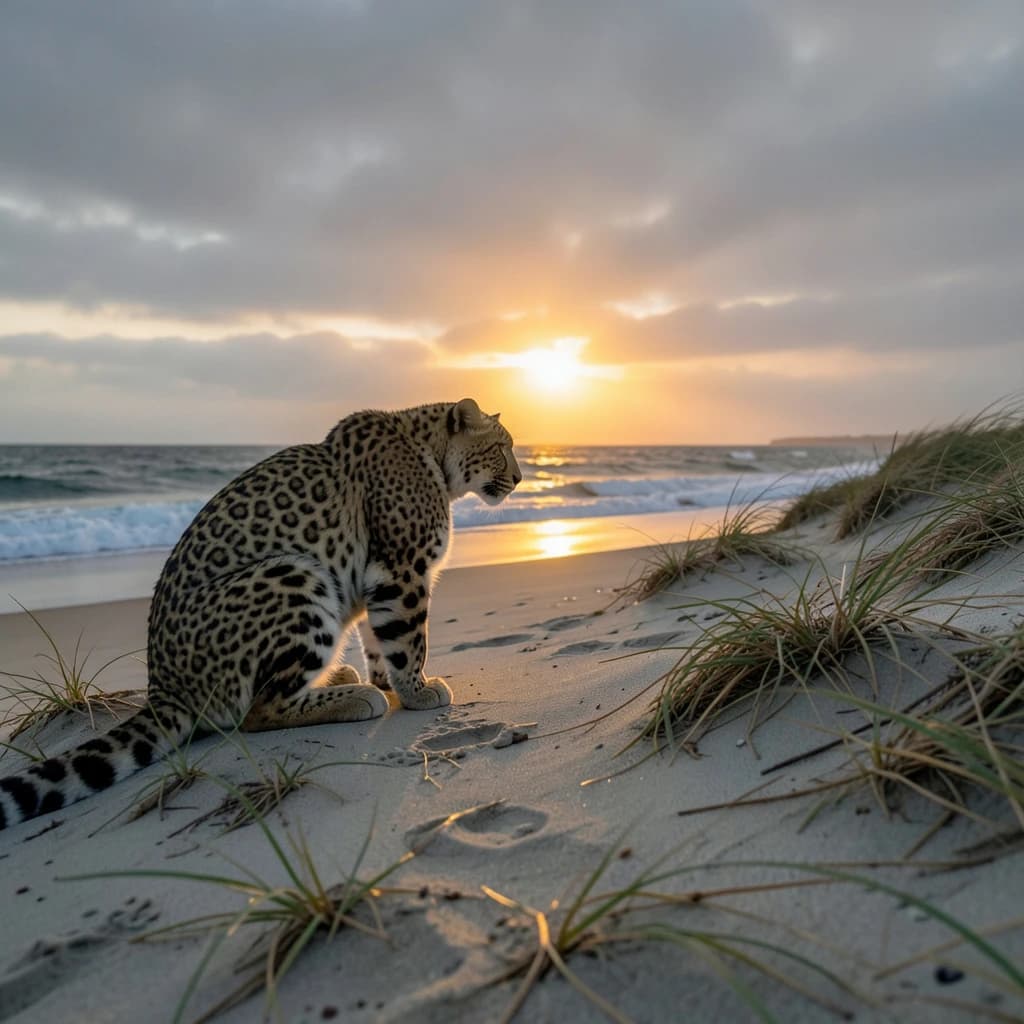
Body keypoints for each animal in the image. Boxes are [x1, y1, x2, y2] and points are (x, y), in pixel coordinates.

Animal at [0, 399, 520, 831]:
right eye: (502, 448)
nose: (518, 479)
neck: (433, 457)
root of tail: (163, 688)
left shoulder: (380, 577)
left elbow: (381, 641)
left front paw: (391, 682)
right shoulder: (400, 569)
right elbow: (408, 638)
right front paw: (416, 691)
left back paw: (342, 678)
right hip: (296, 575)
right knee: (259, 709)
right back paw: (354, 696)